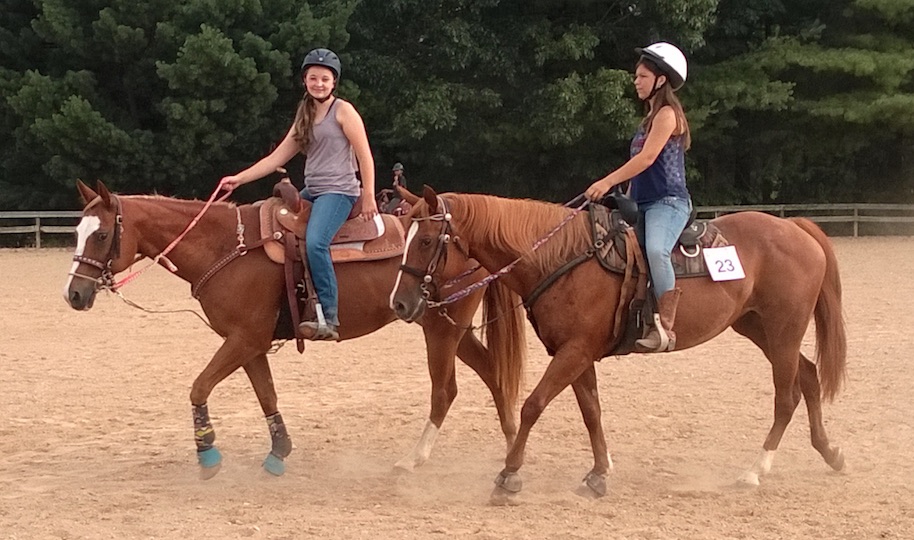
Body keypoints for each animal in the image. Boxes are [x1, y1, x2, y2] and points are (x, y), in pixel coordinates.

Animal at [64, 181, 524, 476]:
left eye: (101, 235)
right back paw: (510, 444)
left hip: (441, 329)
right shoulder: (250, 343)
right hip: (449, 324)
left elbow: (199, 387)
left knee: (445, 390)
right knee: (494, 374)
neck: (227, 245)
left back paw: (414, 459)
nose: (74, 293)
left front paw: (208, 453)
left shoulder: (243, 339)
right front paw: (278, 452)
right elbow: (266, 395)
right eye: (77, 232)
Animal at [392, 188, 848, 504]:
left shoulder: (574, 351)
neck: (561, 258)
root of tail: (796, 227)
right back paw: (830, 453)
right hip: (758, 328)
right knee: (808, 377)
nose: (399, 302)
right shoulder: (577, 353)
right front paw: (598, 474)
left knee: (787, 396)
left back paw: (756, 470)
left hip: (783, 330)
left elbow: (532, 406)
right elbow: (591, 412)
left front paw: (509, 476)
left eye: (427, 240)